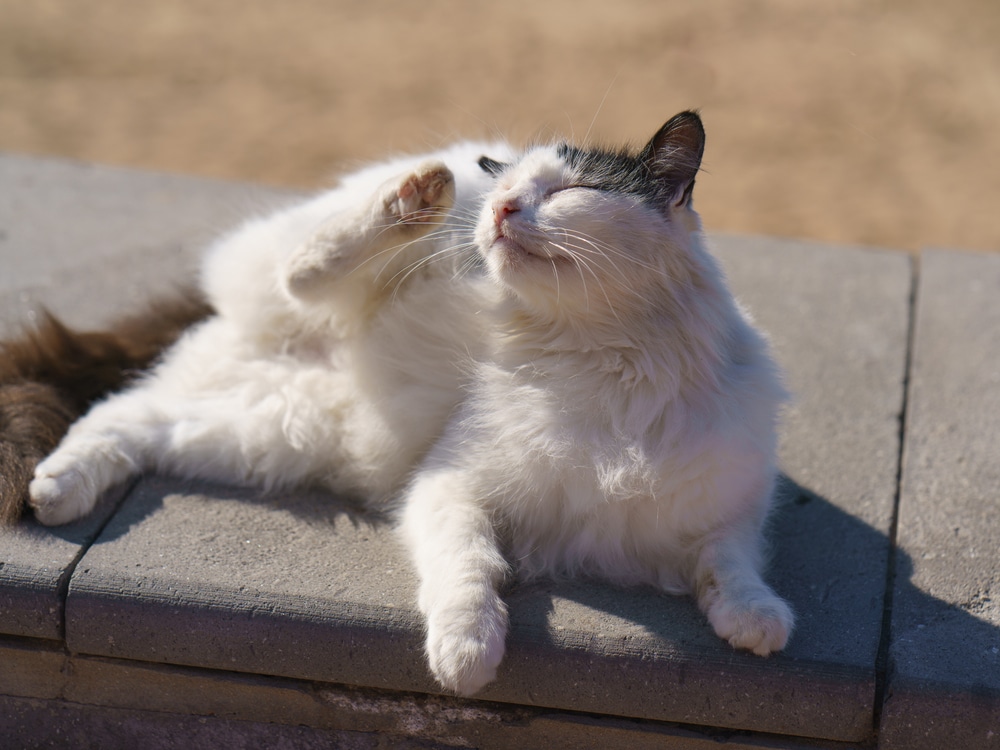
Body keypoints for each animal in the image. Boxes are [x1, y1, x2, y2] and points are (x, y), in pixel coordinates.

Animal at [19, 111, 792, 700]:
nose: (499, 208)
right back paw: (413, 198)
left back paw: (58, 489)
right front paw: (467, 653)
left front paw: (756, 621)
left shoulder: (724, 513)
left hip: (259, 433)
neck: (603, 362)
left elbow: (731, 567)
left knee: (121, 416)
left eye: (571, 189)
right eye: (507, 190)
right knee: (306, 270)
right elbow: (468, 571)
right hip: (336, 290)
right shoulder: (449, 488)